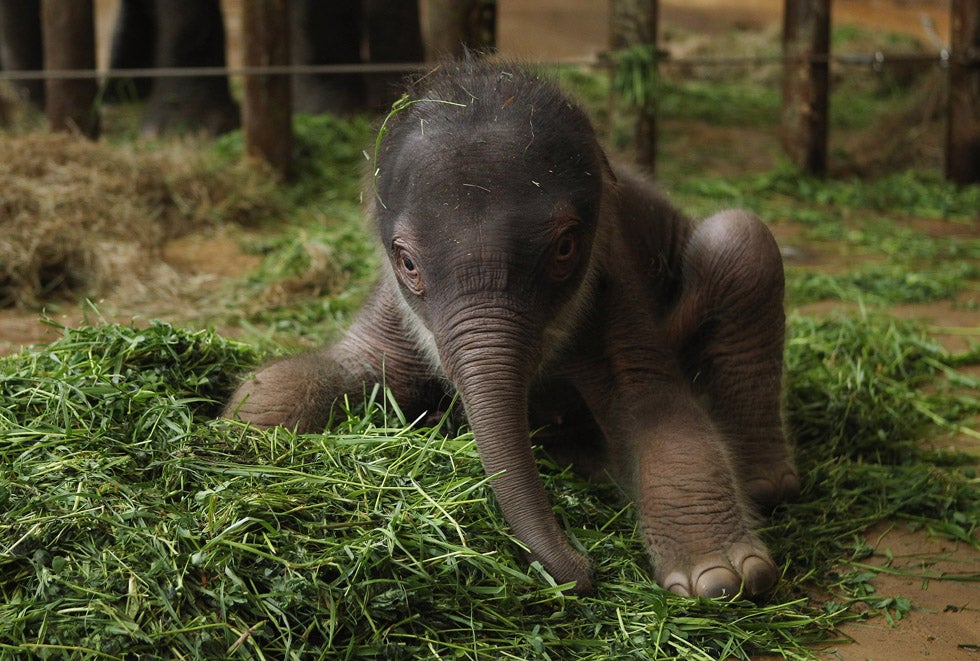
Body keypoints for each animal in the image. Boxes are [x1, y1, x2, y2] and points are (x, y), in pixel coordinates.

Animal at [226, 60, 800, 600]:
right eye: (407, 262)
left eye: (565, 248)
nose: (587, 569)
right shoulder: (390, 308)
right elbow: (341, 370)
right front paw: (240, 426)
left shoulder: (616, 285)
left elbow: (659, 412)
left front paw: (723, 577)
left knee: (741, 241)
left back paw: (761, 484)